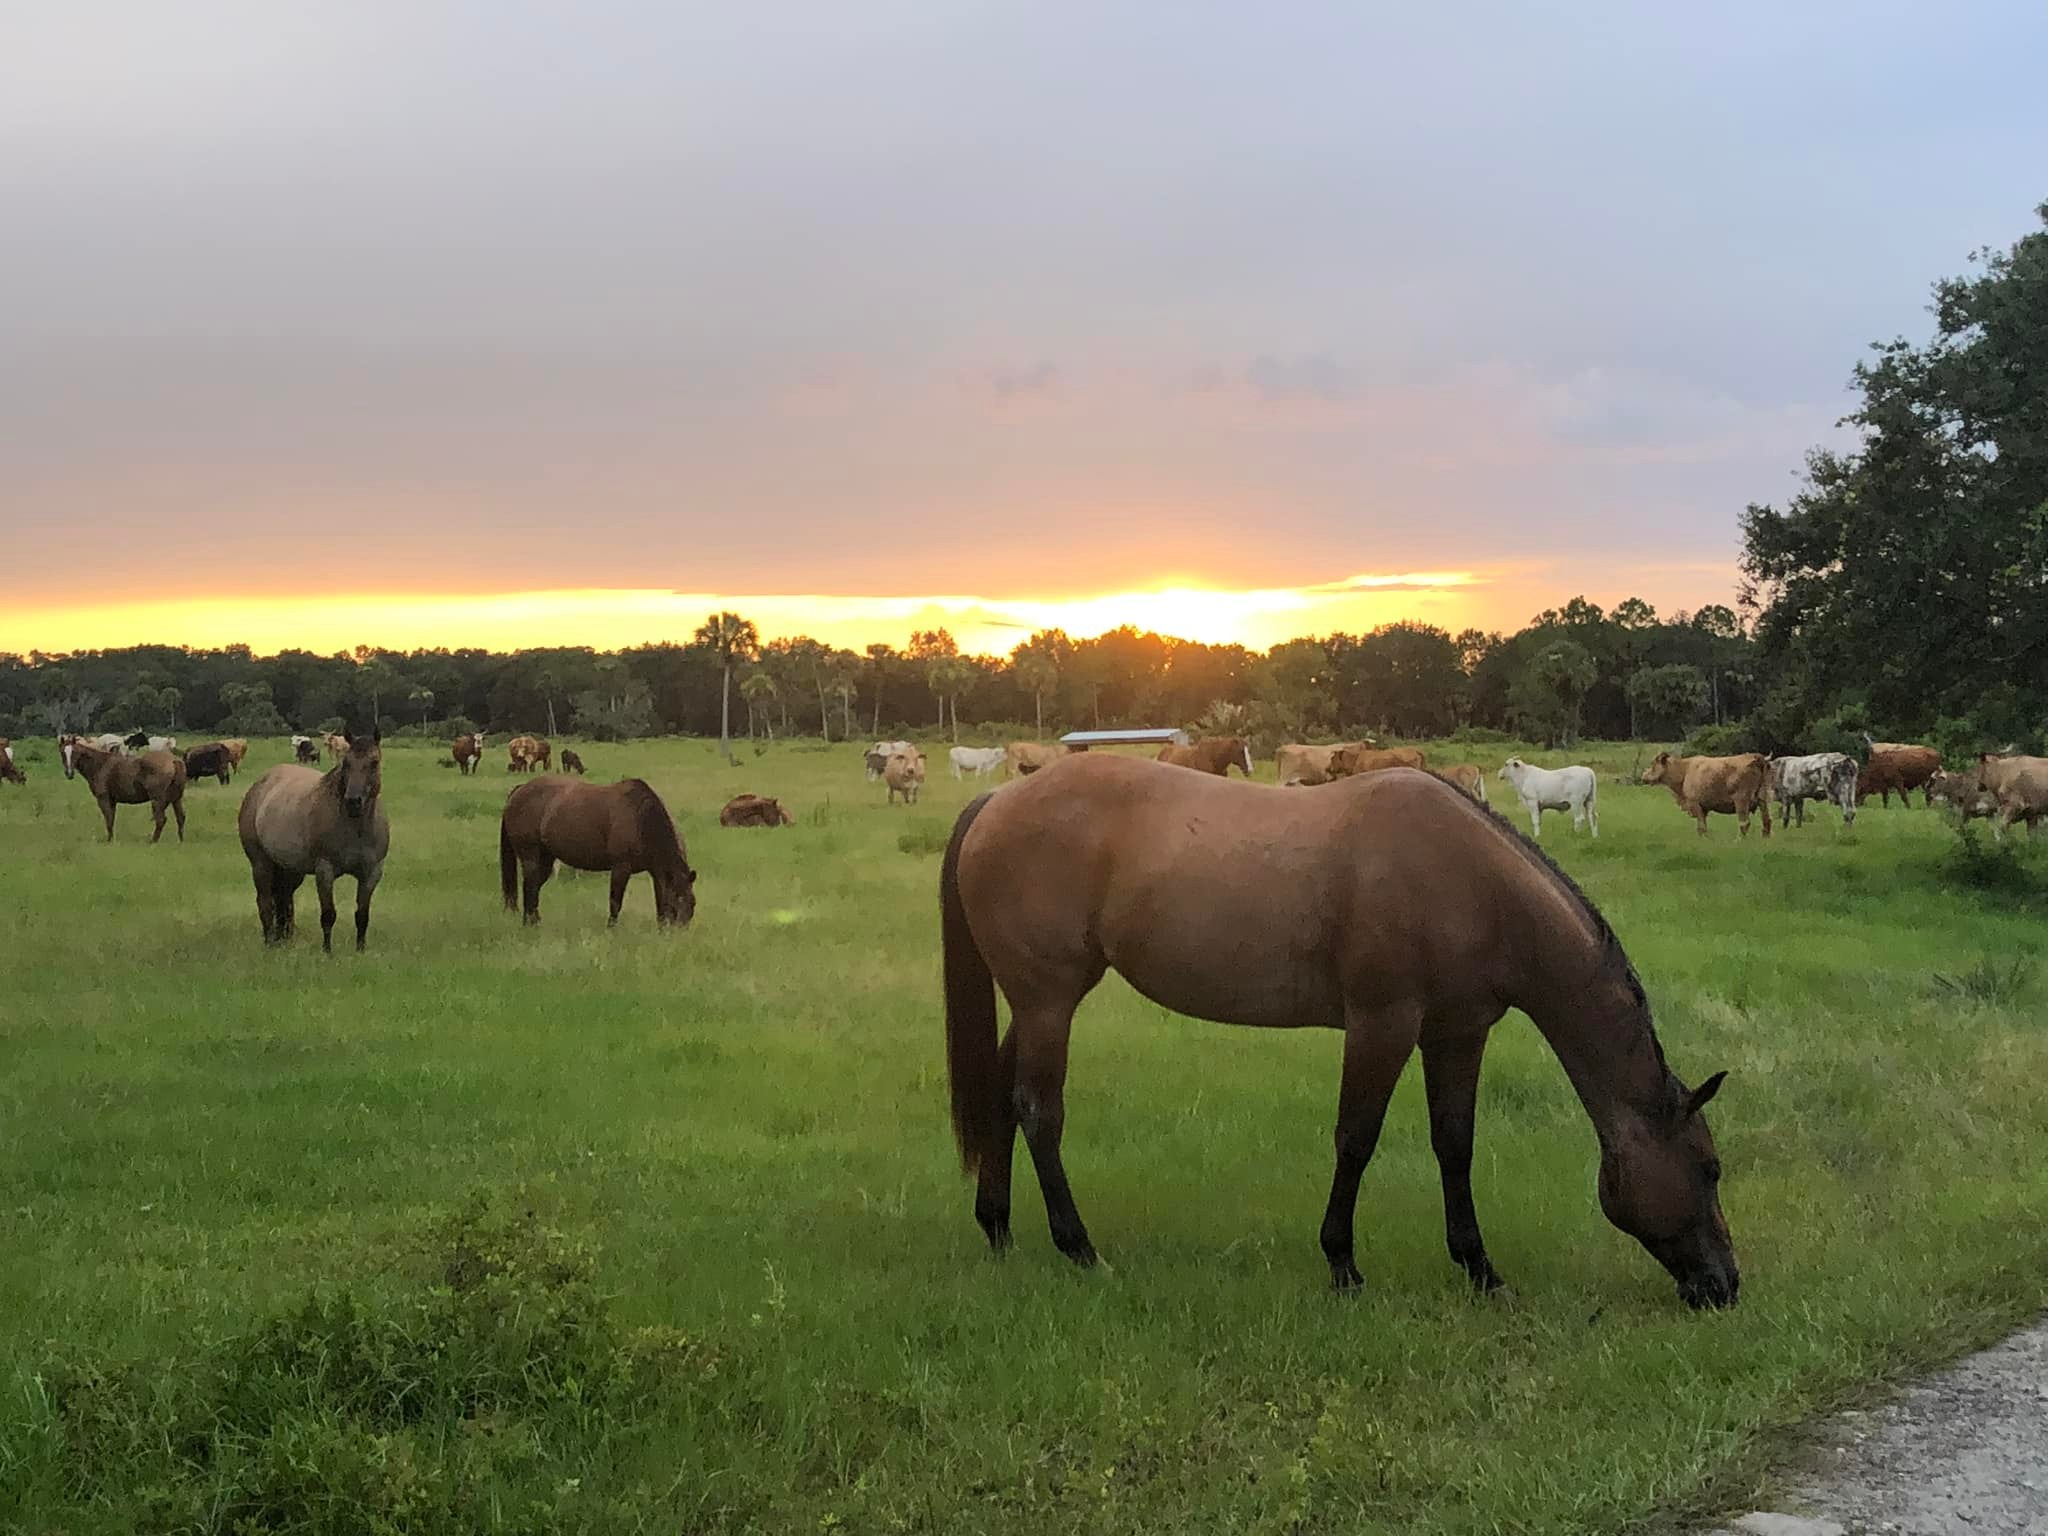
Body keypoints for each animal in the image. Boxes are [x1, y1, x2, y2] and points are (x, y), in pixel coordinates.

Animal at [238, 735, 390, 951]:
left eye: (374, 762)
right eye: (346, 762)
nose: (353, 801)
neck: (355, 827)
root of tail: (258, 786)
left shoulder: (372, 873)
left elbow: (362, 915)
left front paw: (360, 950)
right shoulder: (325, 870)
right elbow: (328, 914)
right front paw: (327, 952)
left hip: (291, 870)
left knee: (284, 901)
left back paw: (282, 940)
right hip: (260, 864)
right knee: (265, 903)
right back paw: (269, 942)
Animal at [500, 777, 697, 927]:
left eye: (692, 903)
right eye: (677, 900)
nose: (678, 932)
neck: (640, 818)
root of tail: (519, 789)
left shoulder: (657, 873)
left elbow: (660, 903)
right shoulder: (621, 868)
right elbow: (615, 902)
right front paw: (611, 929)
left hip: (546, 859)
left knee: (534, 888)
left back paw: (535, 922)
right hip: (530, 855)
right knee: (529, 887)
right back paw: (529, 924)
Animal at [940, 755, 1737, 1309]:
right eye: (1708, 1168)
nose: (1725, 1286)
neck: (1472, 883)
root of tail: (997, 801)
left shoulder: (1456, 1033)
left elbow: (1455, 1145)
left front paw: (1480, 1269)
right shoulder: (1382, 1024)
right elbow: (1356, 1139)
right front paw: (1343, 1265)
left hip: (1038, 1005)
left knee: (1003, 1101)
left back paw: (998, 1229)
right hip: (1049, 1003)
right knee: (1040, 1112)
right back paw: (1079, 1250)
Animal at [1641, 752, 1772, 838]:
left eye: (1653, 764)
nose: (1643, 776)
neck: (1684, 770)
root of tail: (1755, 757)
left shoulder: (1695, 804)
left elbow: (1701, 827)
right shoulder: (1703, 808)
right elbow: (1703, 827)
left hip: (1741, 800)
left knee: (1744, 823)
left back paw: (1738, 840)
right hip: (1762, 800)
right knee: (1766, 821)